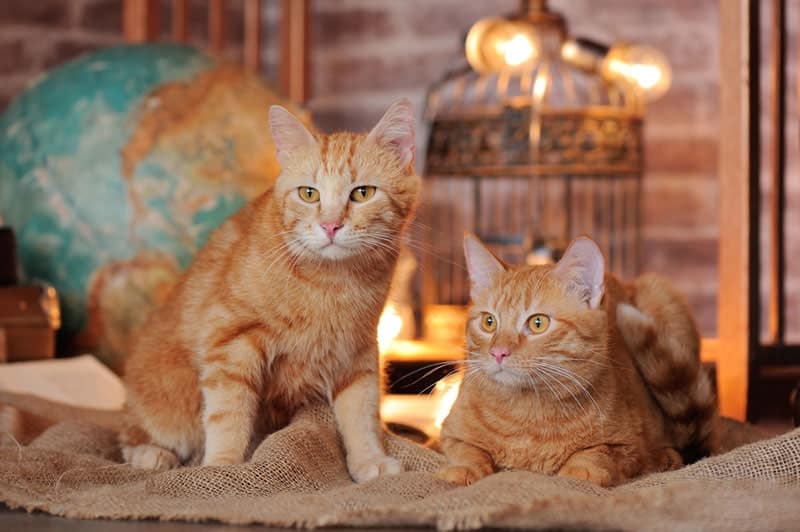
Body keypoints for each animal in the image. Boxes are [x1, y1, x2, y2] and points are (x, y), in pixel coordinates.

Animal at [0, 98, 422, 482]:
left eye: (362, 193)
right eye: (309, 194)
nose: (331, 226)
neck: (332, 283)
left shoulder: (357, 353)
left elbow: (361, 413)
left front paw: (368, 461)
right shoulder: (231, 341)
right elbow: (228, 413)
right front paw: (222, 467)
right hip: (168, 405)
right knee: (130, 435)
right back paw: (151, 455)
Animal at [440, 236, 716, 486]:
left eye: (537, 323)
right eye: (489, 322)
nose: (498, 352)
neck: (526, 414)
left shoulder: (627, 445)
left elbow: (596, 453)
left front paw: (579, 471)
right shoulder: (449, 434)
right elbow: (467, 450)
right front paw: (465, 469)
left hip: (659, 292)